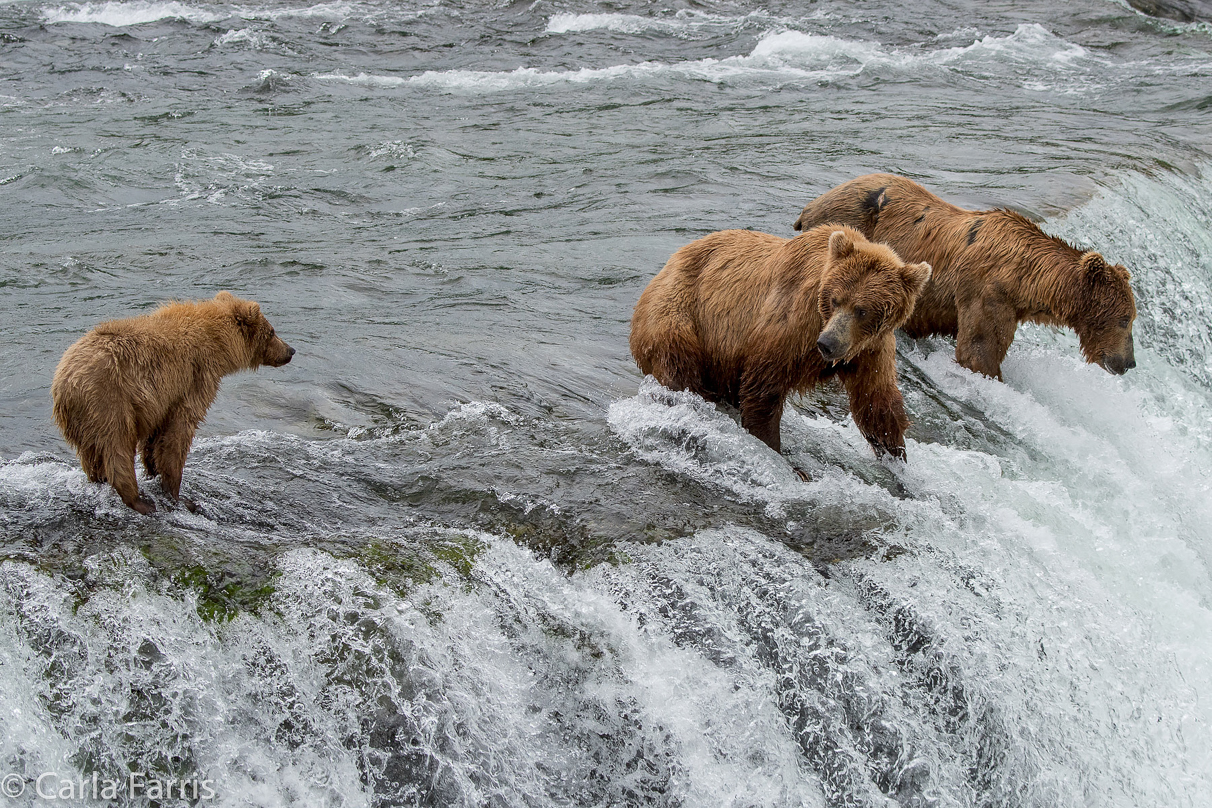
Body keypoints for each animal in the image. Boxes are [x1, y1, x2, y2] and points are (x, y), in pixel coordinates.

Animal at [51, 294, 298, 516]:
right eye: (272, 331)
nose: (291, 350)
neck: (217, 342)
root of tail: (65, 382)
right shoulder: (193, 379)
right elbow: (177, 433)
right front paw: (179, 496)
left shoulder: (162, 400)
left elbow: (155, 438)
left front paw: (153, 472)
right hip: (108, 401)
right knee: (117, 446)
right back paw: (139, 501)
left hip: (81, 418)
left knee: (91, 455)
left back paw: (99, 481)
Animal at [630, 224, 930, 465]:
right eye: (836, 299)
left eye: (862, 310)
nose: (827, 344)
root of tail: (664, 268)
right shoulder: (793, 324)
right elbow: (765, 387)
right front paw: (775, 450)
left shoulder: (870, 349)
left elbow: (875, 402)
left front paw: (898, 457)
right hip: (679, 317)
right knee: (679, 374)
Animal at [790, 172, 1139, 380]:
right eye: (1125, 319)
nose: (1128, 362)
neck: (1025, 281)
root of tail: (813, 204)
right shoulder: (988, 292)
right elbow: (979, 351)